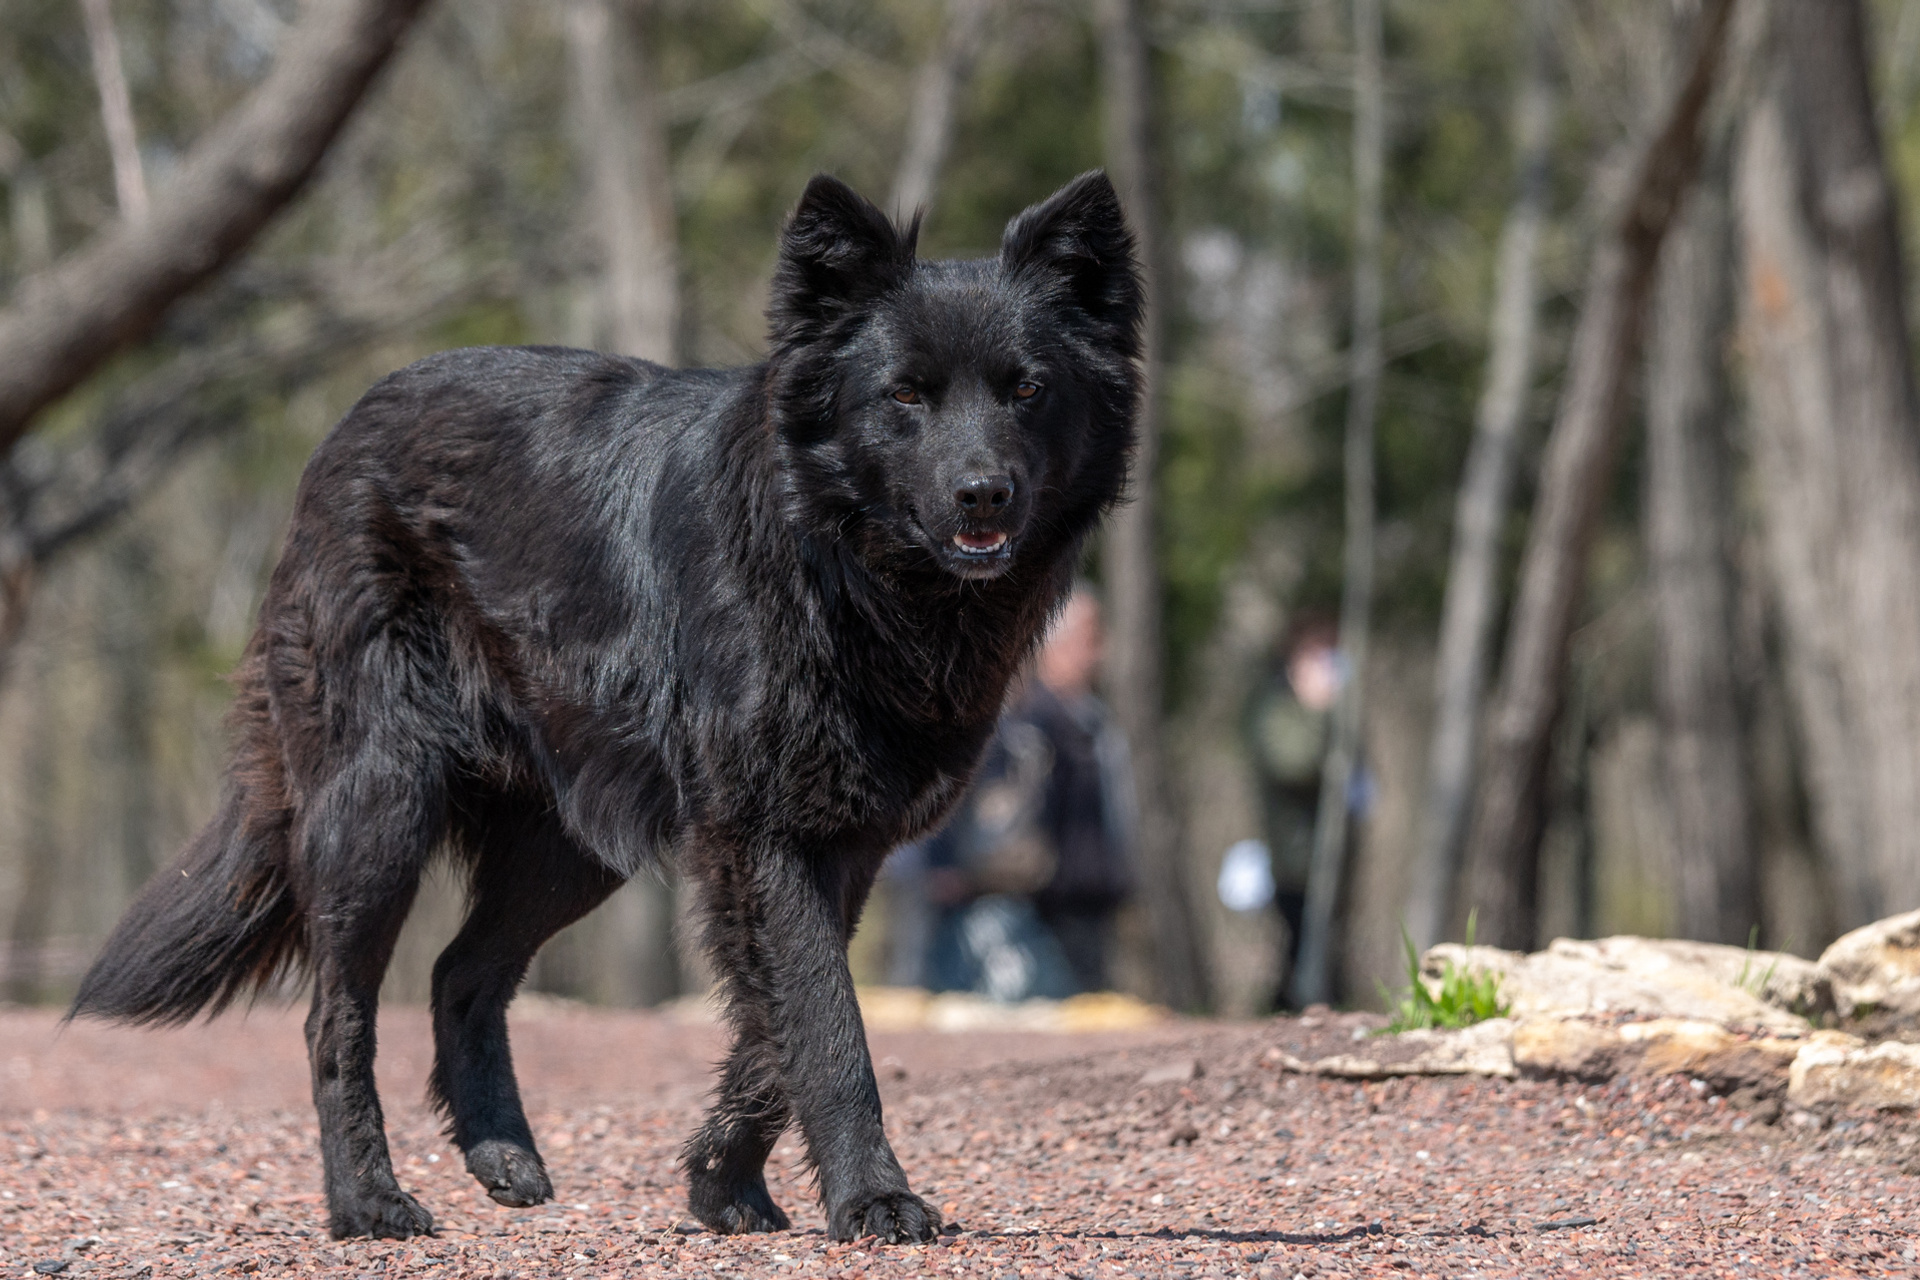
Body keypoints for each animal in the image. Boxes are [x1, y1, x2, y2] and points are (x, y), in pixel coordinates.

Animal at [74, 167, 1136, 1243]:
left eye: (1027, 389)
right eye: (906, 394)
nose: (982, 494)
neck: (839, 567)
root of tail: (346, 429)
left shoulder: (839, 844)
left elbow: (779, 1025)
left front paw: (721, 1178)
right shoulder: (764, 837)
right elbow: (827, 1025)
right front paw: (872, 1195)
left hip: (571, 847)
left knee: (459, 974)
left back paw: (501, 1151)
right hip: (381, 807)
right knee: (336, 1015)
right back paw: (367, 1199)